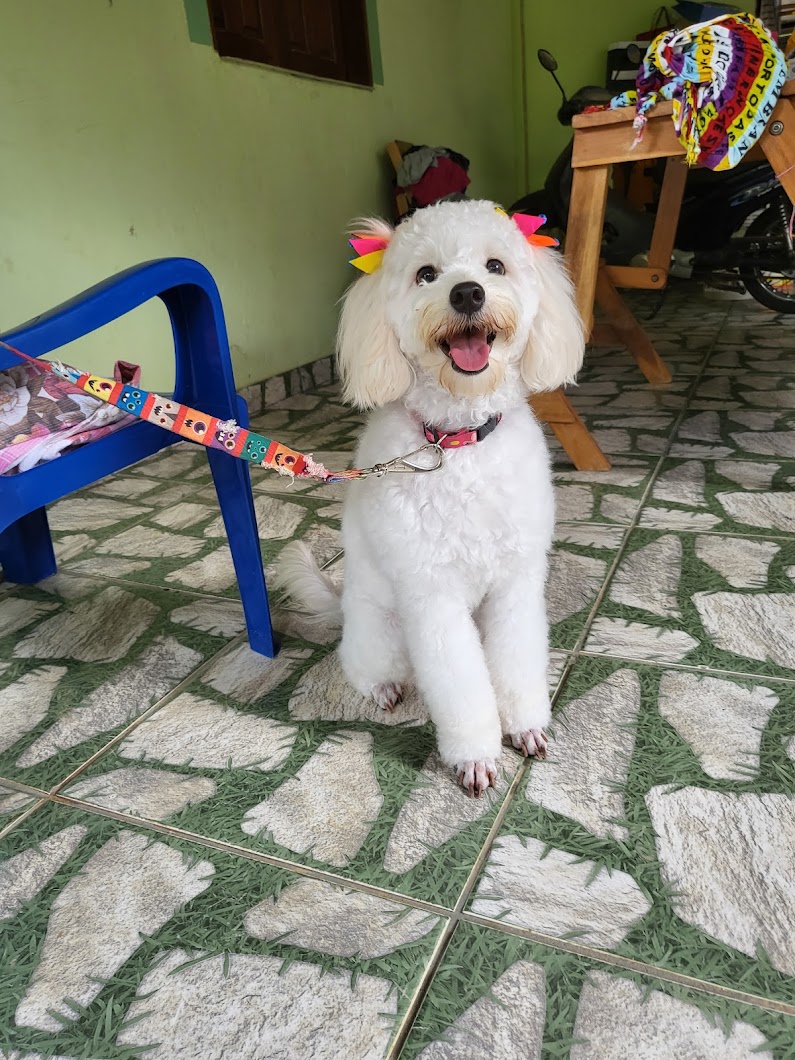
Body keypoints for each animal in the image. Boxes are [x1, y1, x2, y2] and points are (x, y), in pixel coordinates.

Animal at [276, 199, 584, 796]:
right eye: (425, 274)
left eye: (495, 265)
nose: (467, 294)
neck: (457, 442)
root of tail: (343, 606)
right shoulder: (432, 597)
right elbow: (461, 686)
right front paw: (475, 758)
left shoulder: (515, 584)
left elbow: (517, 661)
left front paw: (526, 726)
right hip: (383, 629)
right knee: (364, 667)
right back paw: (384, 688)